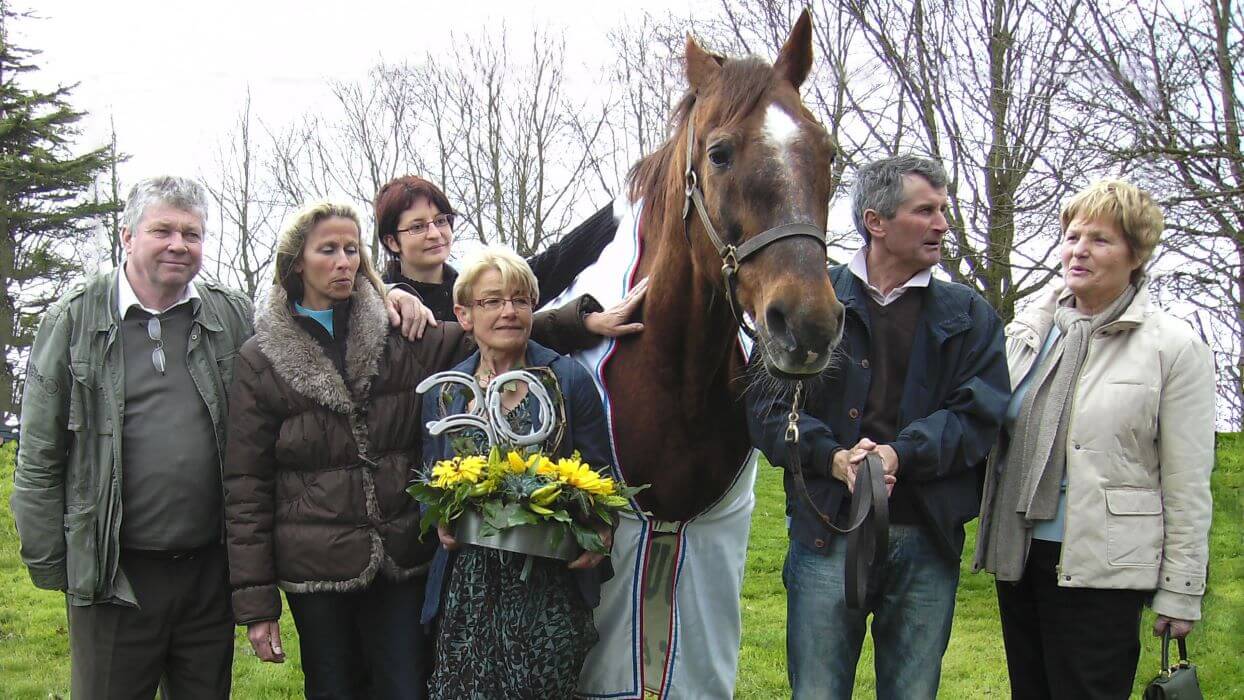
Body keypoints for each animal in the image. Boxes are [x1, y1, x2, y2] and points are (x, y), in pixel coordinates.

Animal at [562, 12, 845, 700]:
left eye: (827, 153)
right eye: (718, 154)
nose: (808, 324)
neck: (674, 376)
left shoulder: (701, 548)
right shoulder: (631, 544)